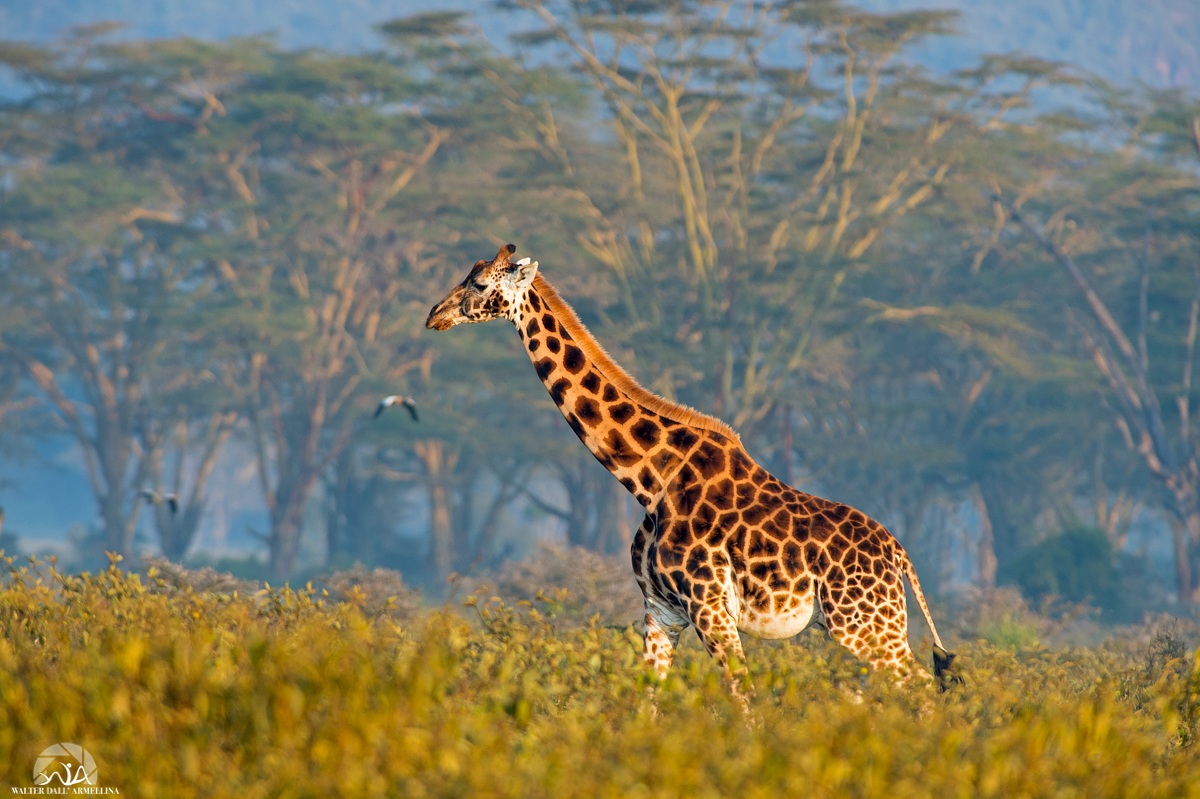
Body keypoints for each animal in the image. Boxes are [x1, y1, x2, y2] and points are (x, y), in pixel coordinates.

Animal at [426, 244, 961, 709]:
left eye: (478, 284)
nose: (434, 314)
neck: (648, 480)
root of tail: (899, 554)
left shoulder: (709, 607)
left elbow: (745, 702)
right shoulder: (661, 611)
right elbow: (646, 702)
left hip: (863, 624)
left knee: (920, 687)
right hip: (859, 625)